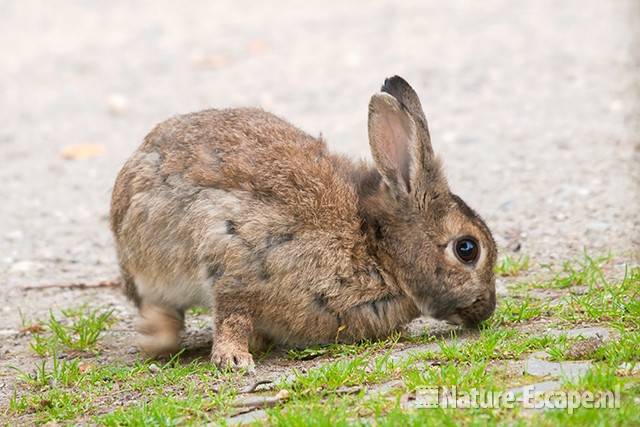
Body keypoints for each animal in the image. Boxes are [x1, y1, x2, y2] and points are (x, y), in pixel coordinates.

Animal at [110, 76, 498, 372]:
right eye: (467, 248)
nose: (487, 310)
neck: (377, 250)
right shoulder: (234, 251)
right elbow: (232, 312)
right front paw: (234, 359)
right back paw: (155, 337)